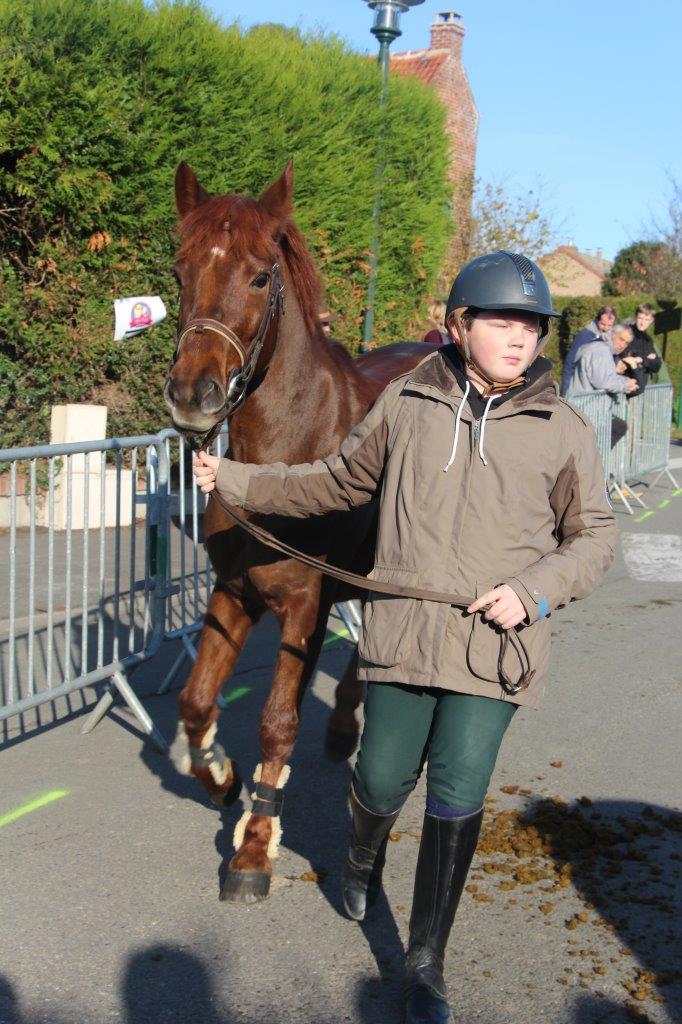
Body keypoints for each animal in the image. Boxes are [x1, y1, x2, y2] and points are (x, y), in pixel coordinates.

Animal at [164, 161, 436, 905]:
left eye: (261, 277)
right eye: (178, 270)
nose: (191, 395)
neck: (280, 460)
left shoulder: (304, 603)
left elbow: (278, 722)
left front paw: (256, 847)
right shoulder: (234, 593)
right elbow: (196, 701)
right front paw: (220, 776)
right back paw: (342, 725)